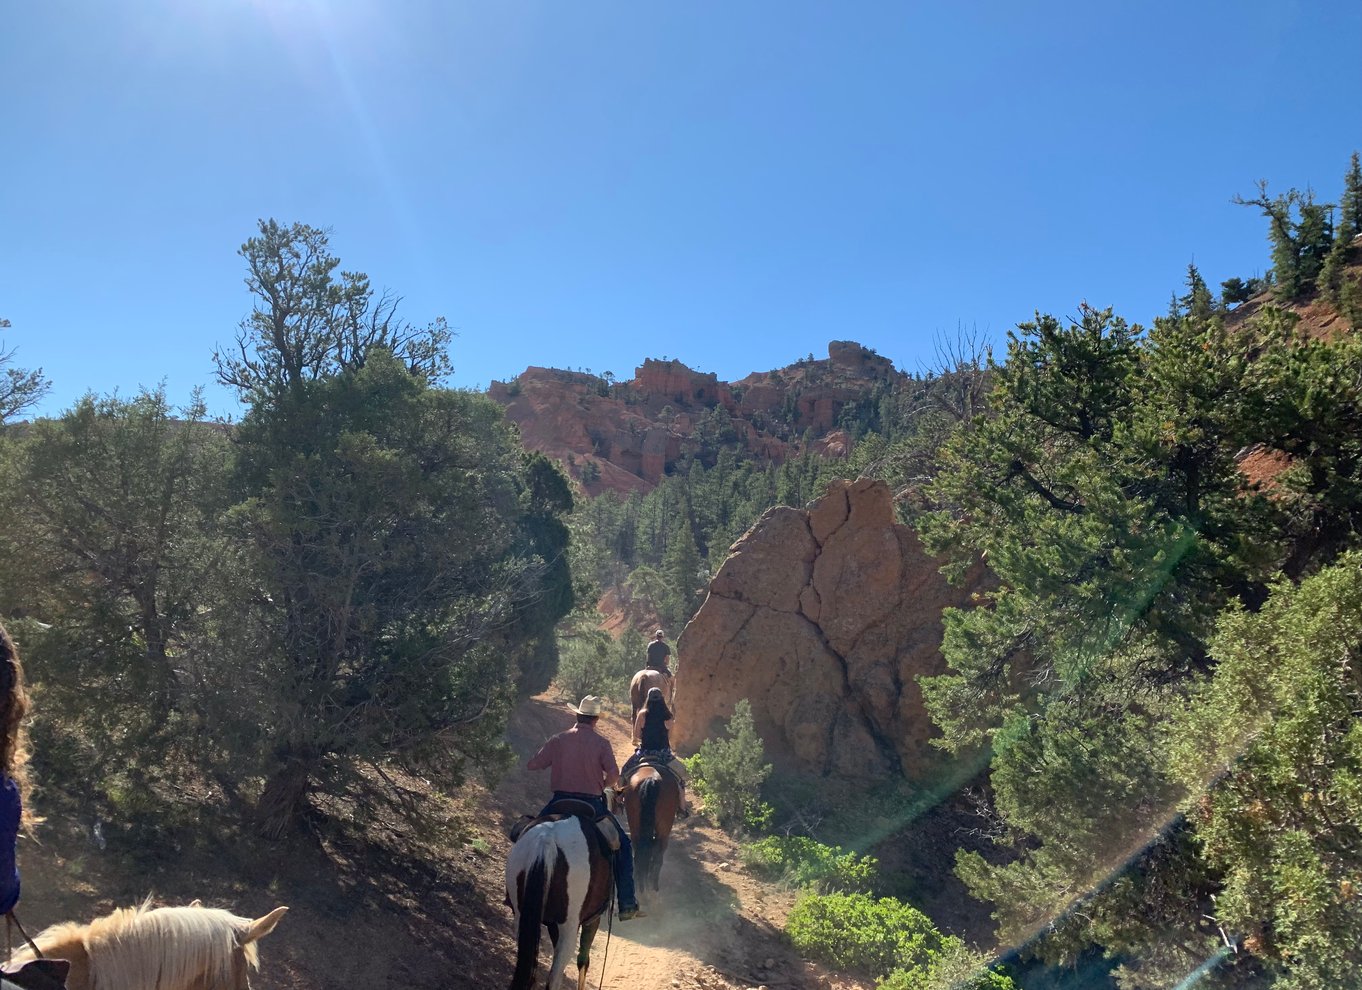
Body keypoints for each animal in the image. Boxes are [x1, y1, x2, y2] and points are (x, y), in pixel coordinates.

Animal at [506, 811, 612, 990]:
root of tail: (546, 837)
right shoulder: (592, 921)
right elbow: (583, 961)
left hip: (521, 918)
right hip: (569, 928)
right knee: (554, 978)